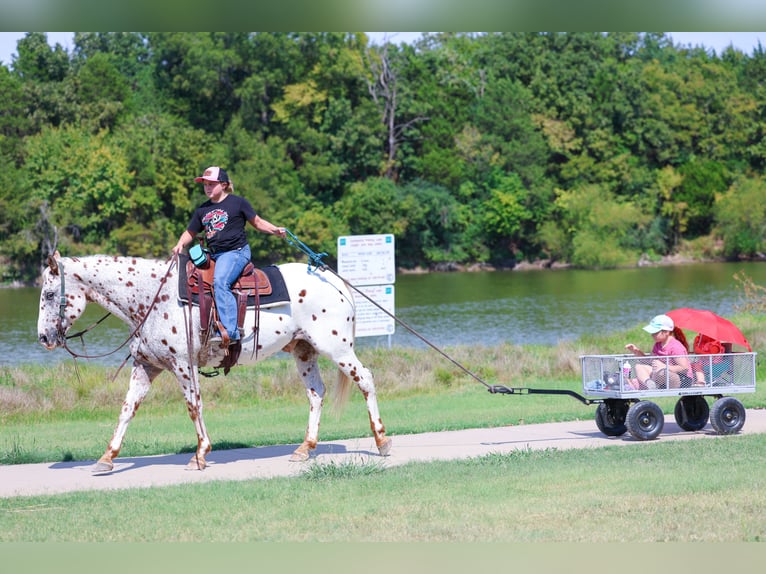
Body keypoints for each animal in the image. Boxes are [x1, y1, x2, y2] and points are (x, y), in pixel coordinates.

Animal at [36, 252, 391, 474]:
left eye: (51, 294)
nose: (43, 337)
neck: (154, 297)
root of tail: (335, 280)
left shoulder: (183, 365)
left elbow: (193, 406)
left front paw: (200, 454)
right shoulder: (146, 366)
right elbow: (127, 409)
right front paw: (107, 458)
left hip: (337, 348)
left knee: (366, 379)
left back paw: (382, 441)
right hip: (304, 351)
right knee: (316, 393)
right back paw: (305, 448)